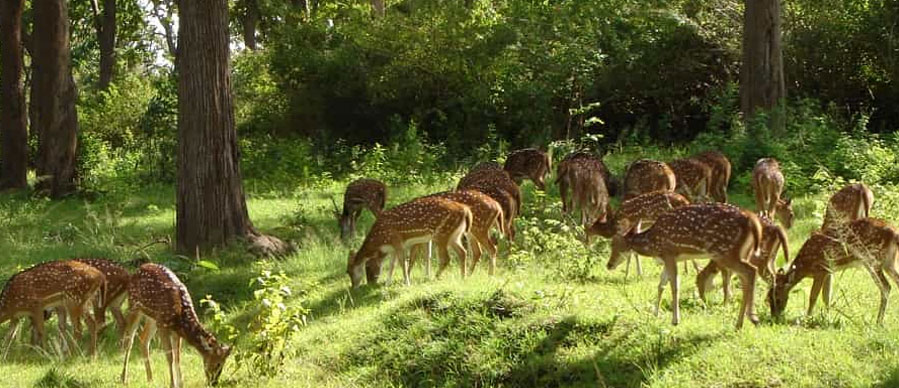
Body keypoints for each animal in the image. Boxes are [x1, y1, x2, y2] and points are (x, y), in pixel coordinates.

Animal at [346, 197, 474, 288]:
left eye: (348, 271)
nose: (354, 287)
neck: (381, 240)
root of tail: (466, 210)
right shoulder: (393, 247)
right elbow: (392, 265)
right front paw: (387, 283)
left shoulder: (397, 241)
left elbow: (403, 263)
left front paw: (407, 283)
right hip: (454, 235)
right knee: (463, 252)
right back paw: (463, 277)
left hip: (442, 233)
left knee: (446, 258)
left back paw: (435, 277)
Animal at [608, 203, 764, 328]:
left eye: (614, 244)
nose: (609, 265)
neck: (653, 243)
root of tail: (753, 220)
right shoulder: (669, 258)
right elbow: (661, 285)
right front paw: (655, 313)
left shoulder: (669, 253)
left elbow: (674, 286)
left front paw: (675, 320)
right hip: (743, 252)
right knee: (745, 277)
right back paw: (741, 322)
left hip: (726, 252)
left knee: (751, 270)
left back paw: (752, 318)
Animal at [768, 218, 899, 324]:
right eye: (768, 298)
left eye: (777, 298)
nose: (774, 317)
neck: (805, 266)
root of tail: (895, 233)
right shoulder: (828, 271)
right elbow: (826, 297)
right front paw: (827, 319)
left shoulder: (820, 270)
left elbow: (813, 296)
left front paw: (808, 318)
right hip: (888, 262)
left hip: (873, 258)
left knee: (886, 287)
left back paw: (879, 321)